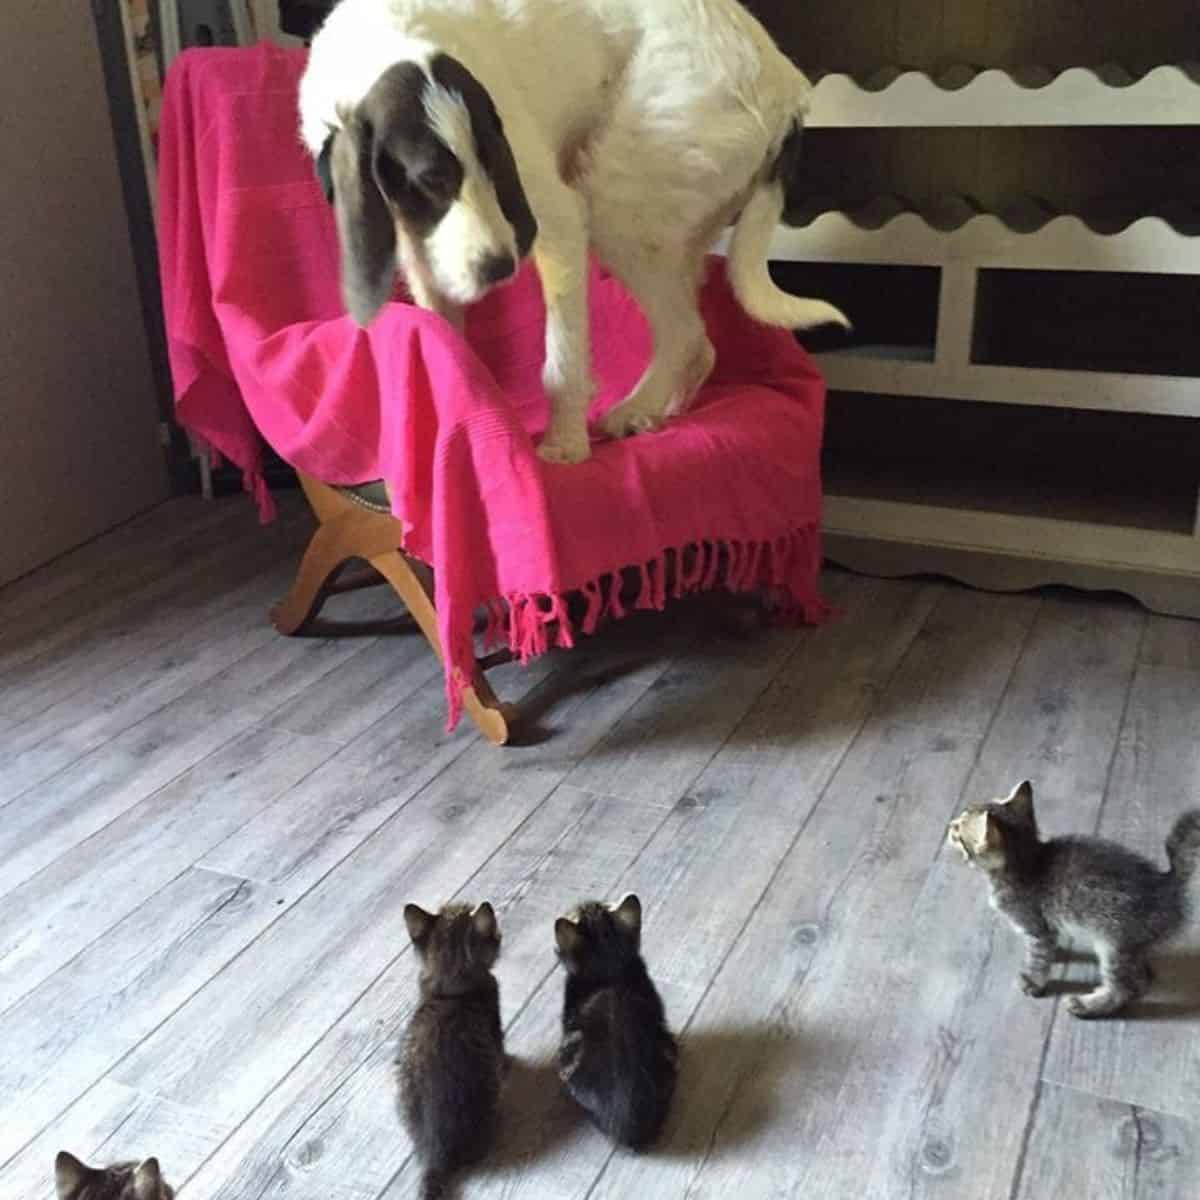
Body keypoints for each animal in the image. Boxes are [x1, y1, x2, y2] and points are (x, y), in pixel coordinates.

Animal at [297, 0, 854, 460]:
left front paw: (564, 447)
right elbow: (446, 340)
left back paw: (634, 410)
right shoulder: (423, 253)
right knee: (697, 342)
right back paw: (659, 410)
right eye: (429, 179)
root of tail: (789, 93)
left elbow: (561, 363)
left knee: (684, 334)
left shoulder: (557, 220)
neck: (389, 40)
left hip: (617, 204)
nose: (498, 267)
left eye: (496, 165)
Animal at [945, 777, 1200, 1022]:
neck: (1027, 859)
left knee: (1122, 989)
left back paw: (1087, 1006)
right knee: (1139, 980)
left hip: (1113, 943)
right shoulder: (1047, 926)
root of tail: (1166, 883)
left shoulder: (1035, 926)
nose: (948, 826)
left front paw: (1034, 981)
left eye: (958, 832)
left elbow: (1038, 957)